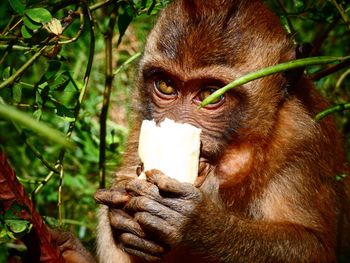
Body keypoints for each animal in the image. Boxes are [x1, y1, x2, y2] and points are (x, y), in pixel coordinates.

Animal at [91, 0, 350, 262]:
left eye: (210, 94)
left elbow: (313, 246)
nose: (176, 123)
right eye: (166, 85)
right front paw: (121, 217)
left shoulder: (303, 136)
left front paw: (196, 223)